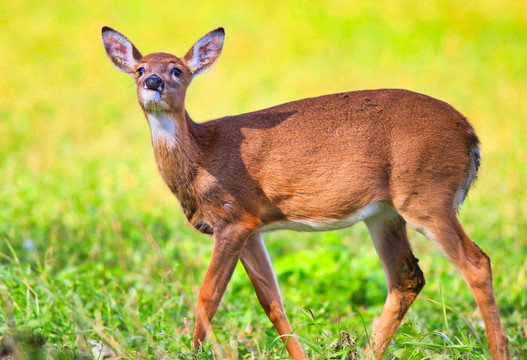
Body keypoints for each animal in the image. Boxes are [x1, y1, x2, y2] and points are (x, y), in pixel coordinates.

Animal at [102, 26, 512, 360]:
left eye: (178, 70)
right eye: (140, 69)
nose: (153, 82)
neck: (201, 156)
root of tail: (470, 135)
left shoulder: (233, 216)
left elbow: (207, 298)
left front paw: (194, 351)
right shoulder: (250, 226)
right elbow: (272, 301)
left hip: (427, 196)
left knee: (477, 263)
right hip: (385, 212)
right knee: (407, 276)